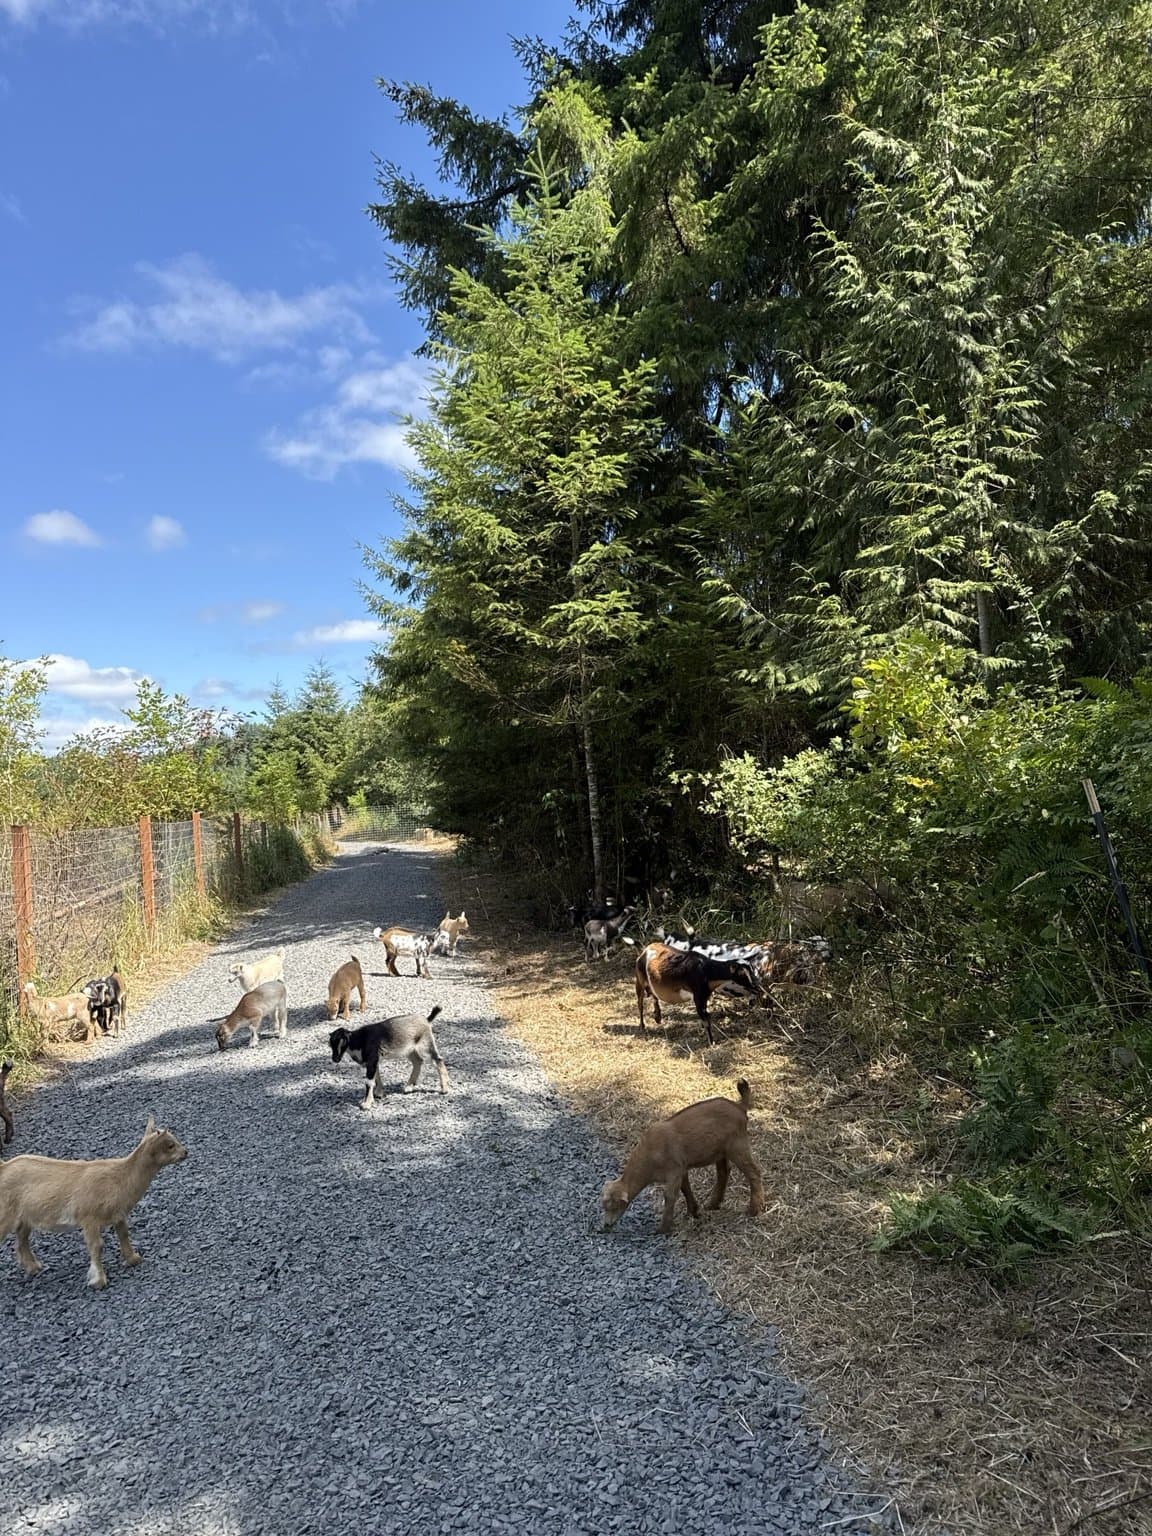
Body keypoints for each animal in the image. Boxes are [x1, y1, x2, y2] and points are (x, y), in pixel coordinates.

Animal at [0, 1116, 188, 1288]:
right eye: (170, 1145)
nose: (186, 1152)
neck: (120, 1178)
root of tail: (4, 1168)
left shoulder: (118, 1214)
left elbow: (124, 1233)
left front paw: (133, 1259)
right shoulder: (89, 1218)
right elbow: (97, 1245)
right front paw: (98, 1280)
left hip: (25, 1217)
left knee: (21, 1239)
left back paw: (34, 1267)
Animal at [601, 1079, 765, 1234]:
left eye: (615, 1206)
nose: (606, 1225)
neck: (649, 1156)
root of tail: (740, 1106)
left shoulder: (674, 1170)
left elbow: (669, 1195)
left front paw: (663, 1228)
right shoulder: (681, 1169)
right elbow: (685, 1189)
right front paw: (693, 1211)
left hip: (737, 1146)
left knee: (754, 1172)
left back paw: (753, 1210)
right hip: (720, 1151)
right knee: (724, 1172)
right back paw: (713, 1204)